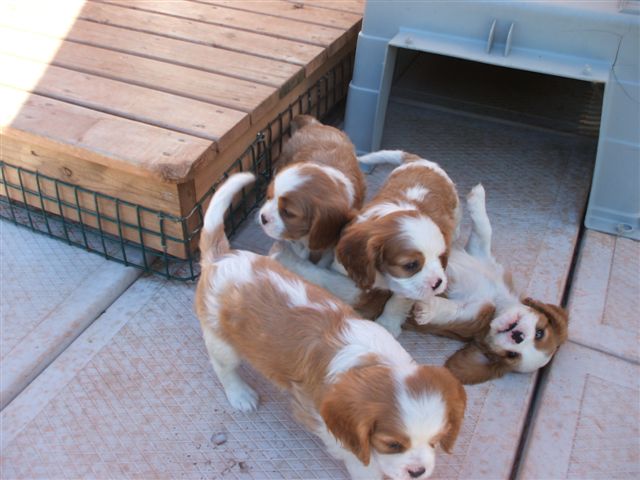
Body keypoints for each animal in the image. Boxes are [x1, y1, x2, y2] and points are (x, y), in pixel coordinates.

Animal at [195, 172, 464, 480]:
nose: (418, 471)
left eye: (435, 441)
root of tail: (221, 257)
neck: (369, 364)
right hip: (221, 340)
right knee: (224, 368)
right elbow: (362, 462)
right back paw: (241, 395)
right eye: (392, 444)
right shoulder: (331, 426)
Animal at [408, 186, 568, 384]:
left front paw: (427, 308)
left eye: (511, 355)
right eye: (540, 333)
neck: (498, 301)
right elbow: (484, 232)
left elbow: (451, 309)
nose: (518, 336)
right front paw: (478, 198)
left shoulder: (473, 316)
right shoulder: (480, 255)